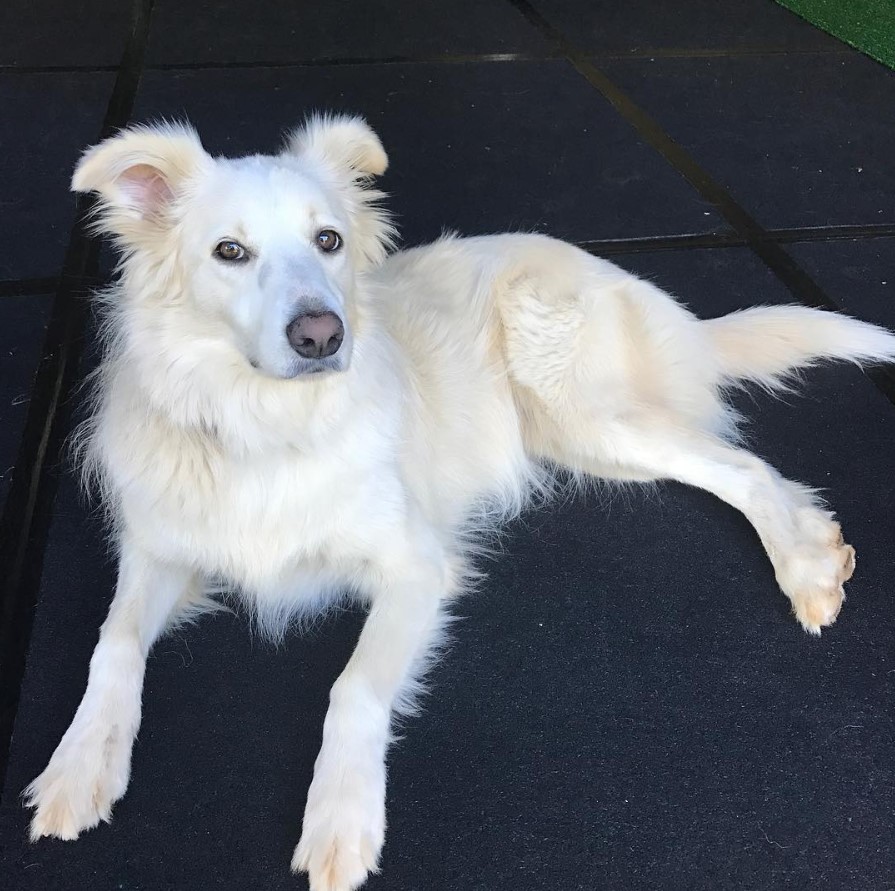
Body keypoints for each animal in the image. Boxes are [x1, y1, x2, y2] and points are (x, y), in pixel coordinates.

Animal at [24, 115, 895, 888]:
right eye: (229, 252)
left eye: (328, 241)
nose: (322, 335)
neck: (265, 424)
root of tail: (644, 290)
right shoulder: (158, 549)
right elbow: (113, 644)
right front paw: (78, 763)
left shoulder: (416, 565)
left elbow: (352, 688)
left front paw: (340, 818)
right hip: (579, 442)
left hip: (579, 404)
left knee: (743, 468)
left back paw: (806, 566)